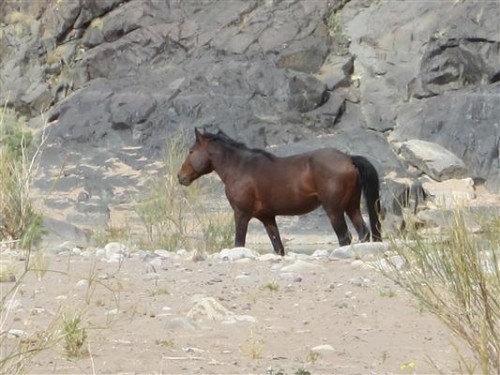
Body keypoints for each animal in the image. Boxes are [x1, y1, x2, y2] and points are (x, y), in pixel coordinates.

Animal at [178, 129, 380, 256]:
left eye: (191, 151)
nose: (181, 177)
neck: (240, 167)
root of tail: (349, 158)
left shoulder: (241, 214)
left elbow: (239, 243)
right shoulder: (267, 218)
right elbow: (278, 247)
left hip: (334, 211)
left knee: (345, 238)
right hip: (352, 208)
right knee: (364, 233)